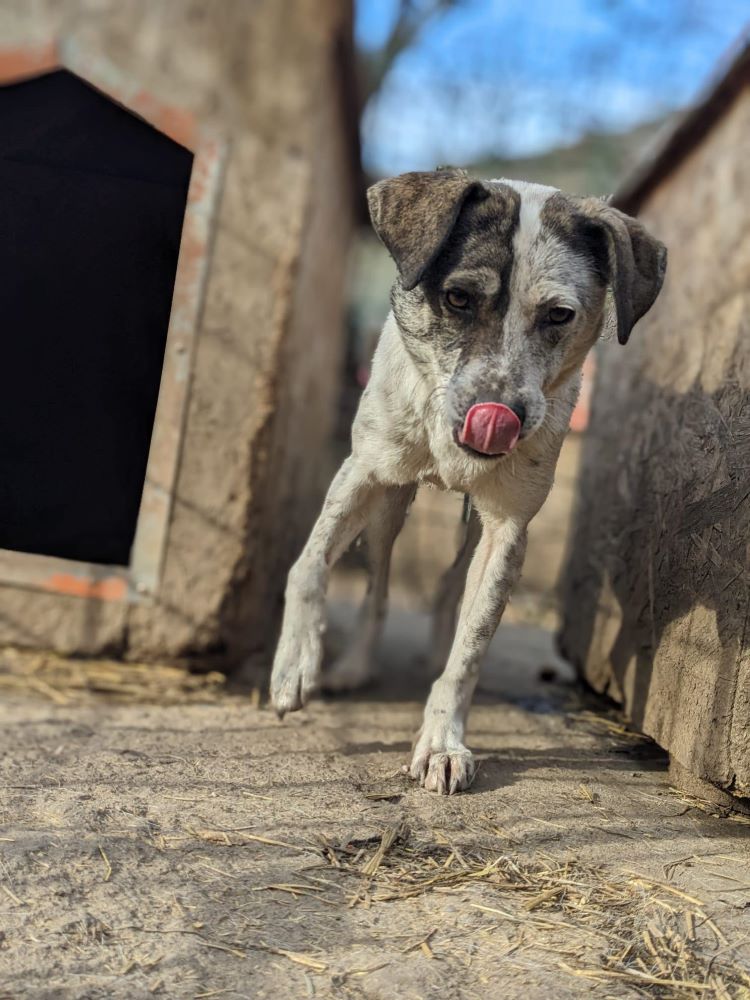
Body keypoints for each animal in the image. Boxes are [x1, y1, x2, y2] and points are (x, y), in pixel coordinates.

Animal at [270, 170, 668, 796]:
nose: (498, 414)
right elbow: (307, 564)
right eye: (457, 298)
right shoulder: (362, 471)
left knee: (448, 588)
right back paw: (353, 665)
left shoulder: (508, 528)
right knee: (379, 588)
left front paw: (442, 742)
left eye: (558, 315)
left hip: (471, 533)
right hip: (389, 512)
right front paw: (294, 665)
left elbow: (471, 647)